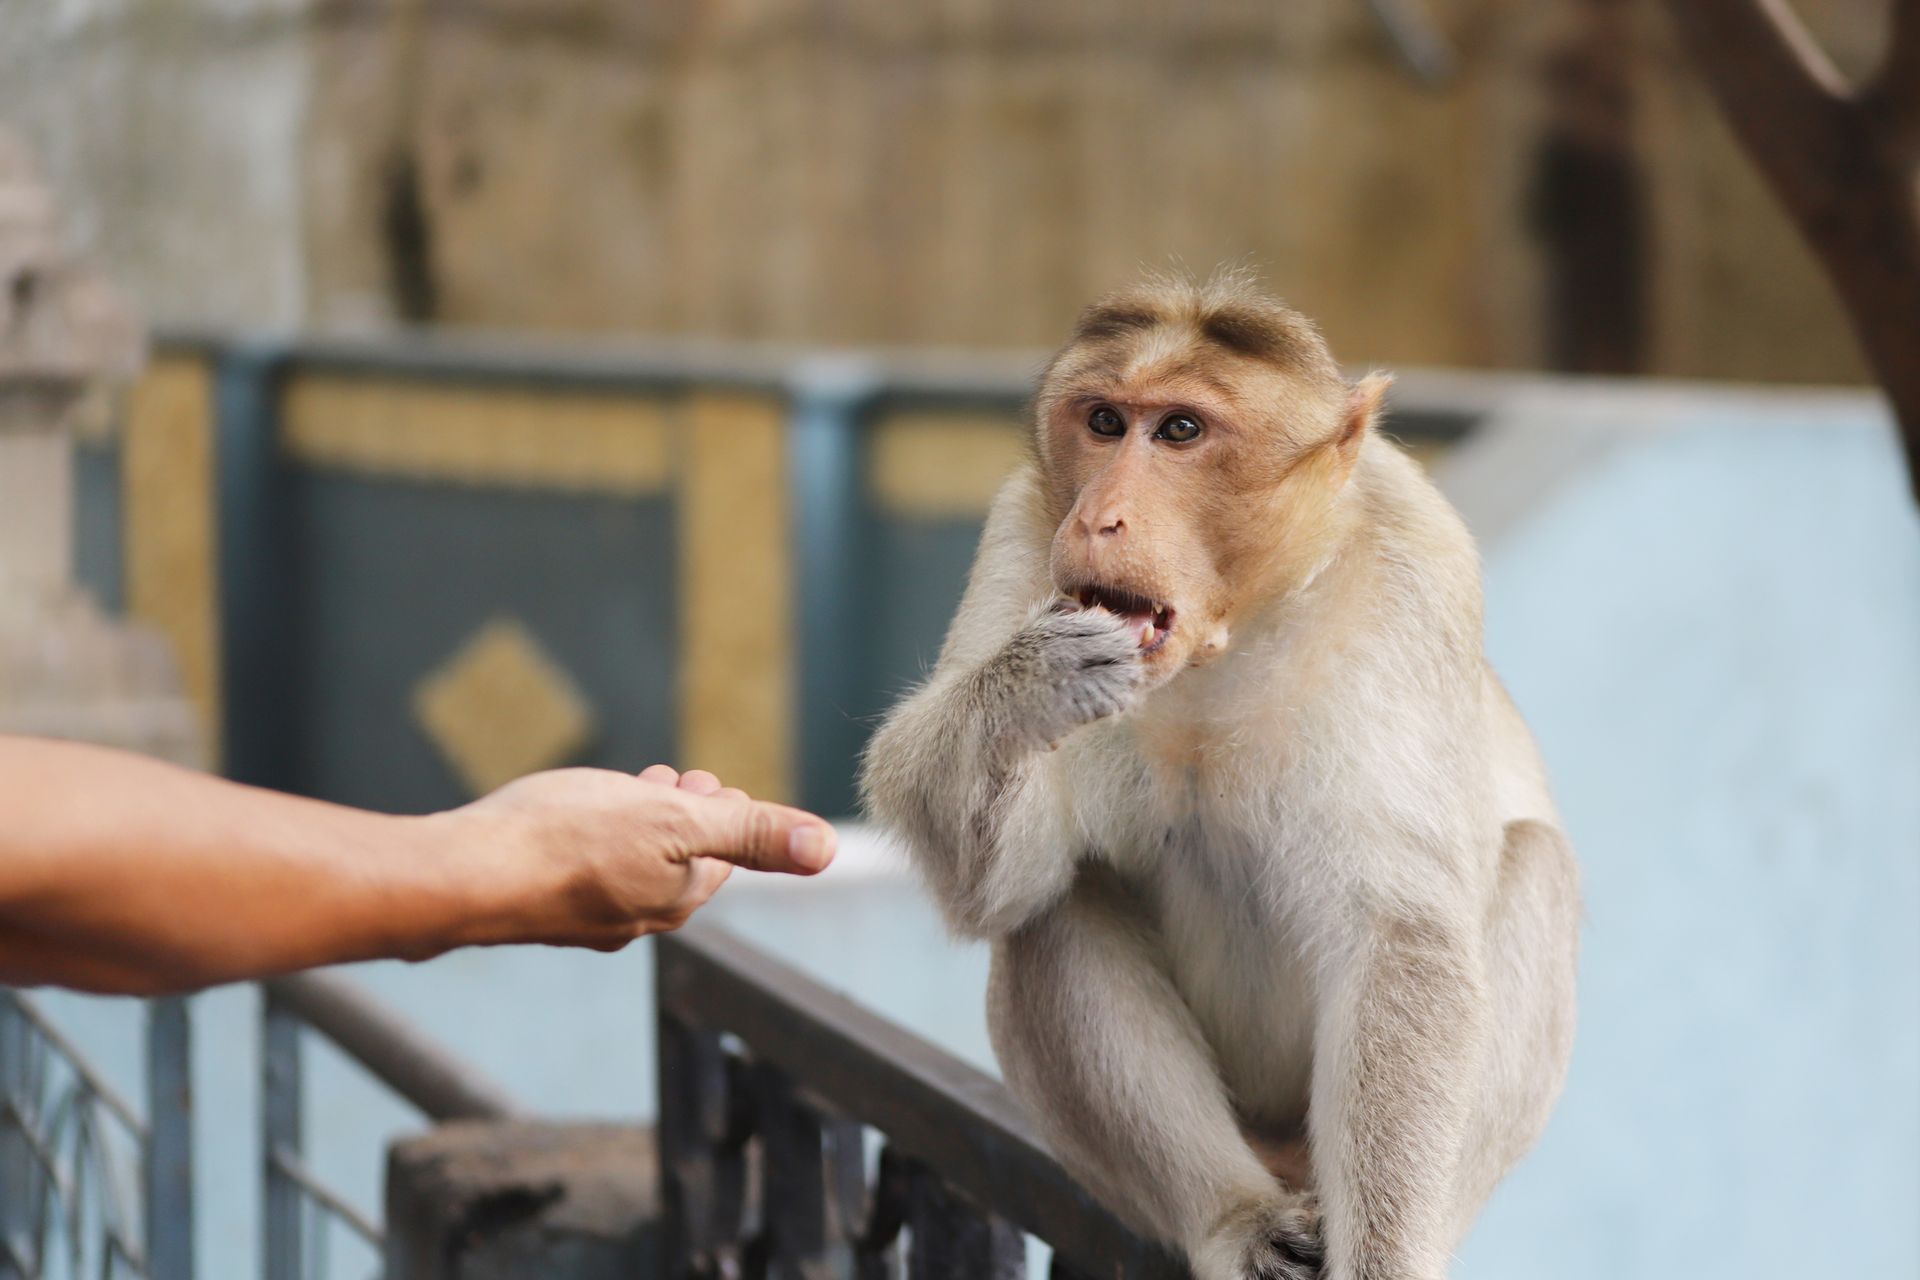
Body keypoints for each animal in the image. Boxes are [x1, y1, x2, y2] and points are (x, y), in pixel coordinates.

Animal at [859, 271, 1579, 1280]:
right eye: (1104, 421)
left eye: (1180, 431)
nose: (1096, 518)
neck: (1230, 633)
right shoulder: (1021, 531)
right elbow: (998, 889)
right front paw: (1027, 685)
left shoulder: (1417, 560)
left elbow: (1400, 935)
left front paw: (1386, 1261)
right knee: (1059, 904)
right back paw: (1233, 1214)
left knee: (1536, 870)